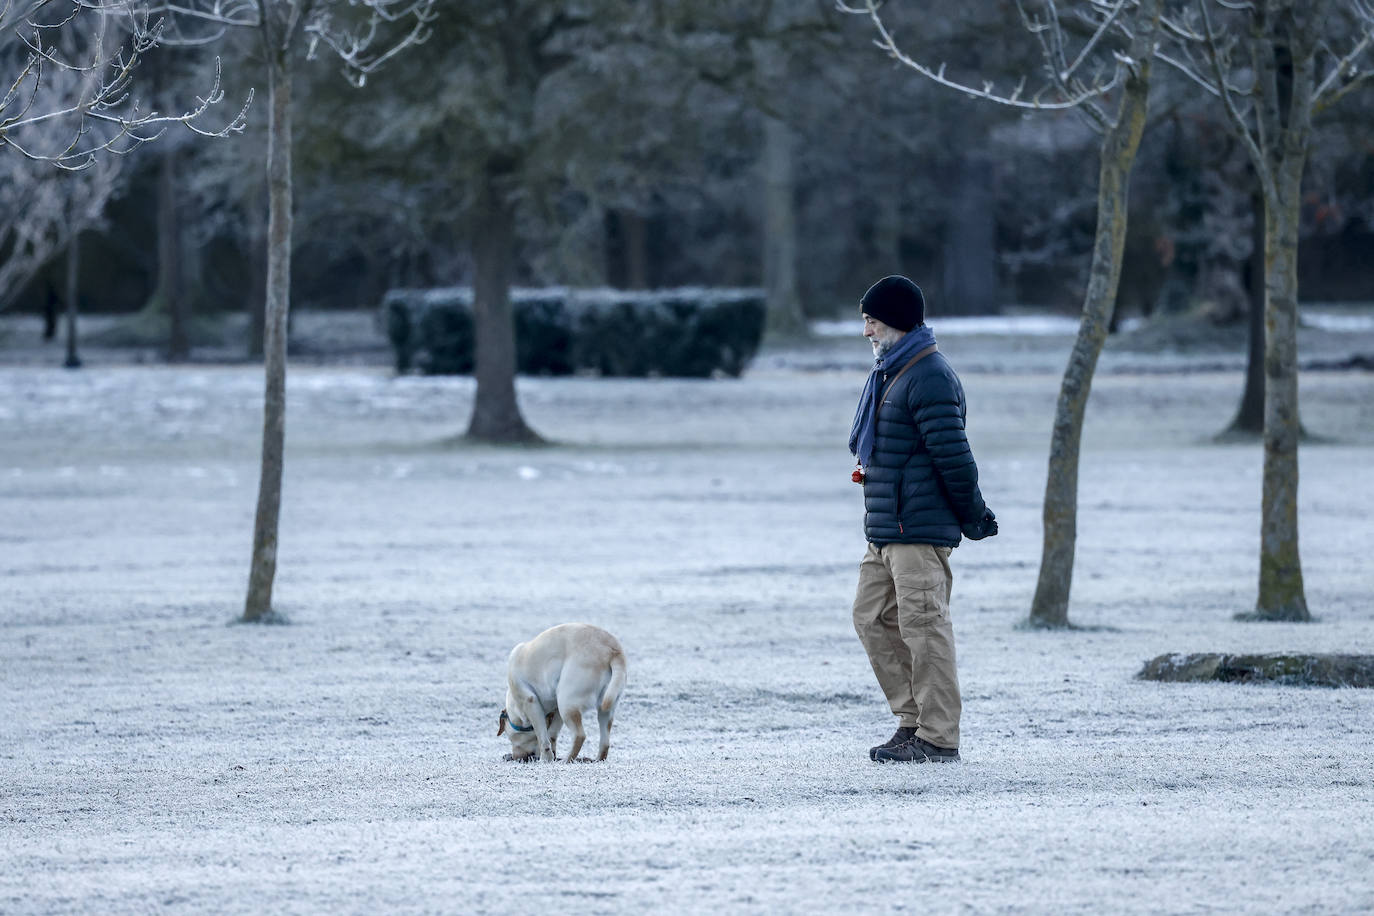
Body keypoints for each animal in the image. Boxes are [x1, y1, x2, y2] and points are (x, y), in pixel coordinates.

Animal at [497, 623, 626, 769]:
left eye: (510, 737)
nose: (514, 757)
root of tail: (613, 651)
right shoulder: (556, 710)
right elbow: (551, 736)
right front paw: (551, 756)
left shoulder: (531, 702)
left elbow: (543, 739)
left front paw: (545, 759)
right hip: (606, 708)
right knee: (605, 743)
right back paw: (596, 760)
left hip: (566, 701)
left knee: (580, 735)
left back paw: (566, 760)